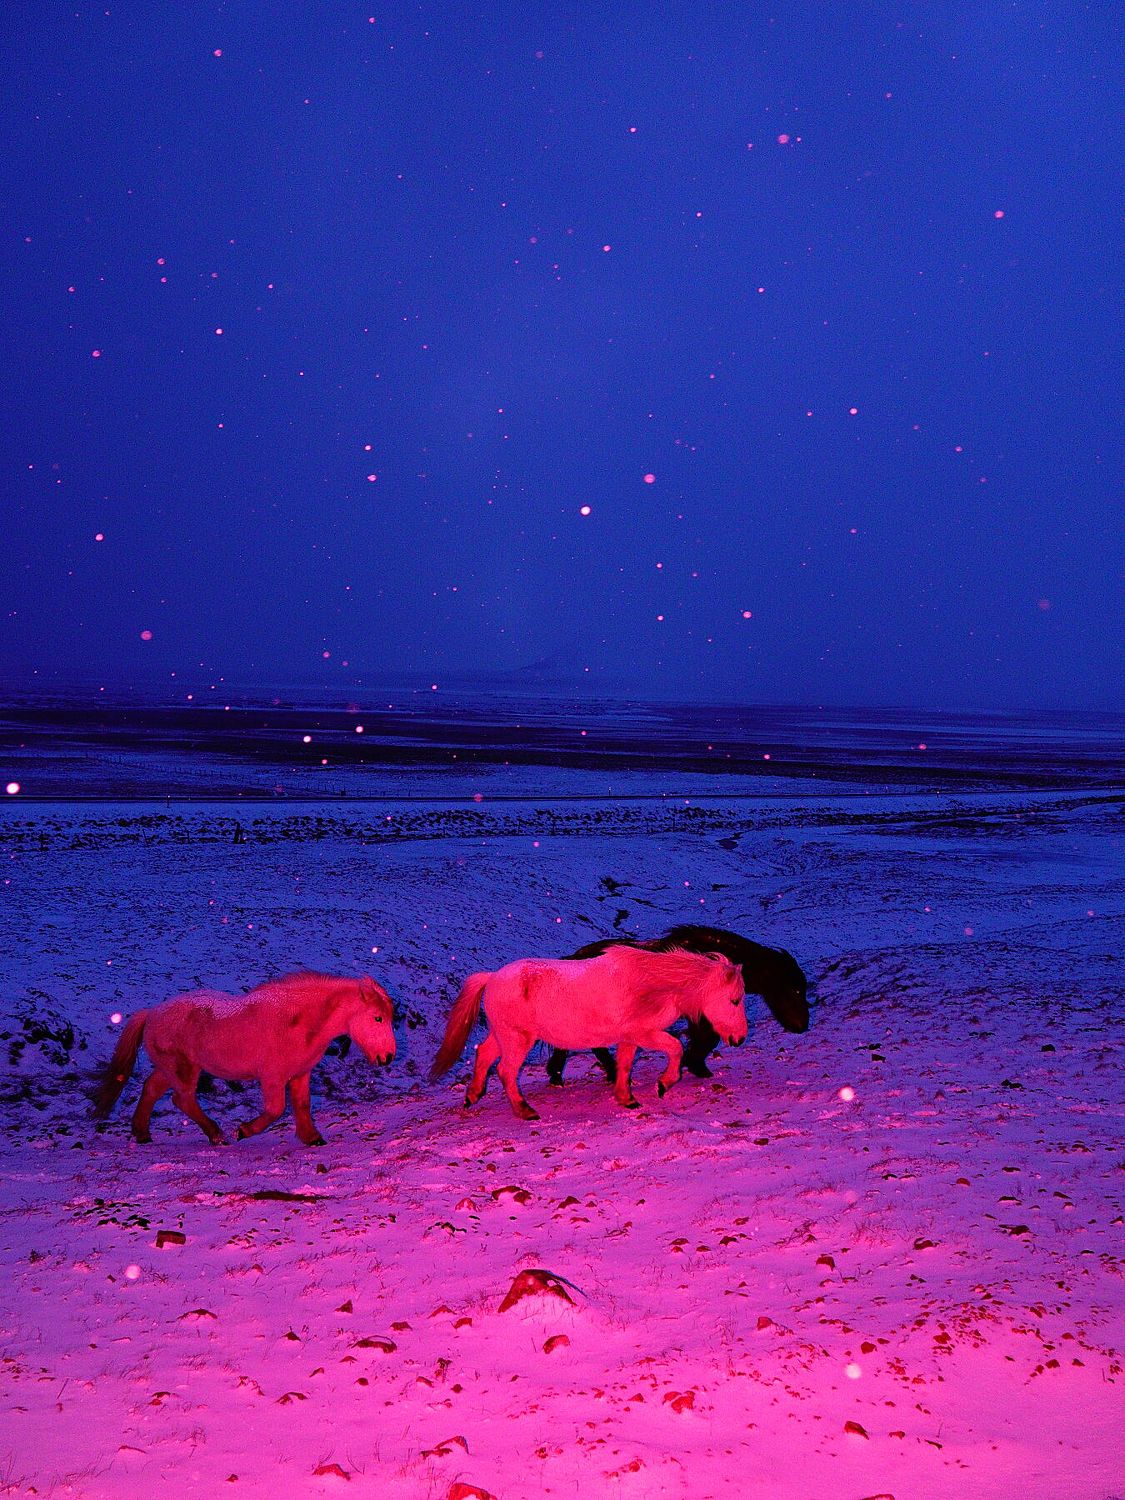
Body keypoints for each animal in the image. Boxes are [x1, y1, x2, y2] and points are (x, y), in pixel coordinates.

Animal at [93, 972, 396, 1146]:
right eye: (377, 1018)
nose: (387, 1057)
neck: (297, 1021)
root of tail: (152, 1013)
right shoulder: (272, 1077)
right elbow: (275, 1109)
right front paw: (245, 1131)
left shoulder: (300, 1074)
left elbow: (302, 1106)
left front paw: (312, 1138)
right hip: (183, 1068)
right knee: (183, 1099)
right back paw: (216, 1135)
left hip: (171, 1068)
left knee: (152, 1090)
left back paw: (142, 1133)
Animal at [430, 946, 747, 1120]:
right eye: (734, 1000)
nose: (740, 1038)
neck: (650, 984)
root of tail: (492, 977)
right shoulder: (645, 1034)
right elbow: (675, 1049)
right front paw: (663, 1084)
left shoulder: (629, 1038)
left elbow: (624, 1066)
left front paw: (626, 1098)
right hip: (517, 1040)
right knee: (506, 1071)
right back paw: (525, 1111)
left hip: (503, 1036)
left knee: (484, 1055)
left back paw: (472, 1096)